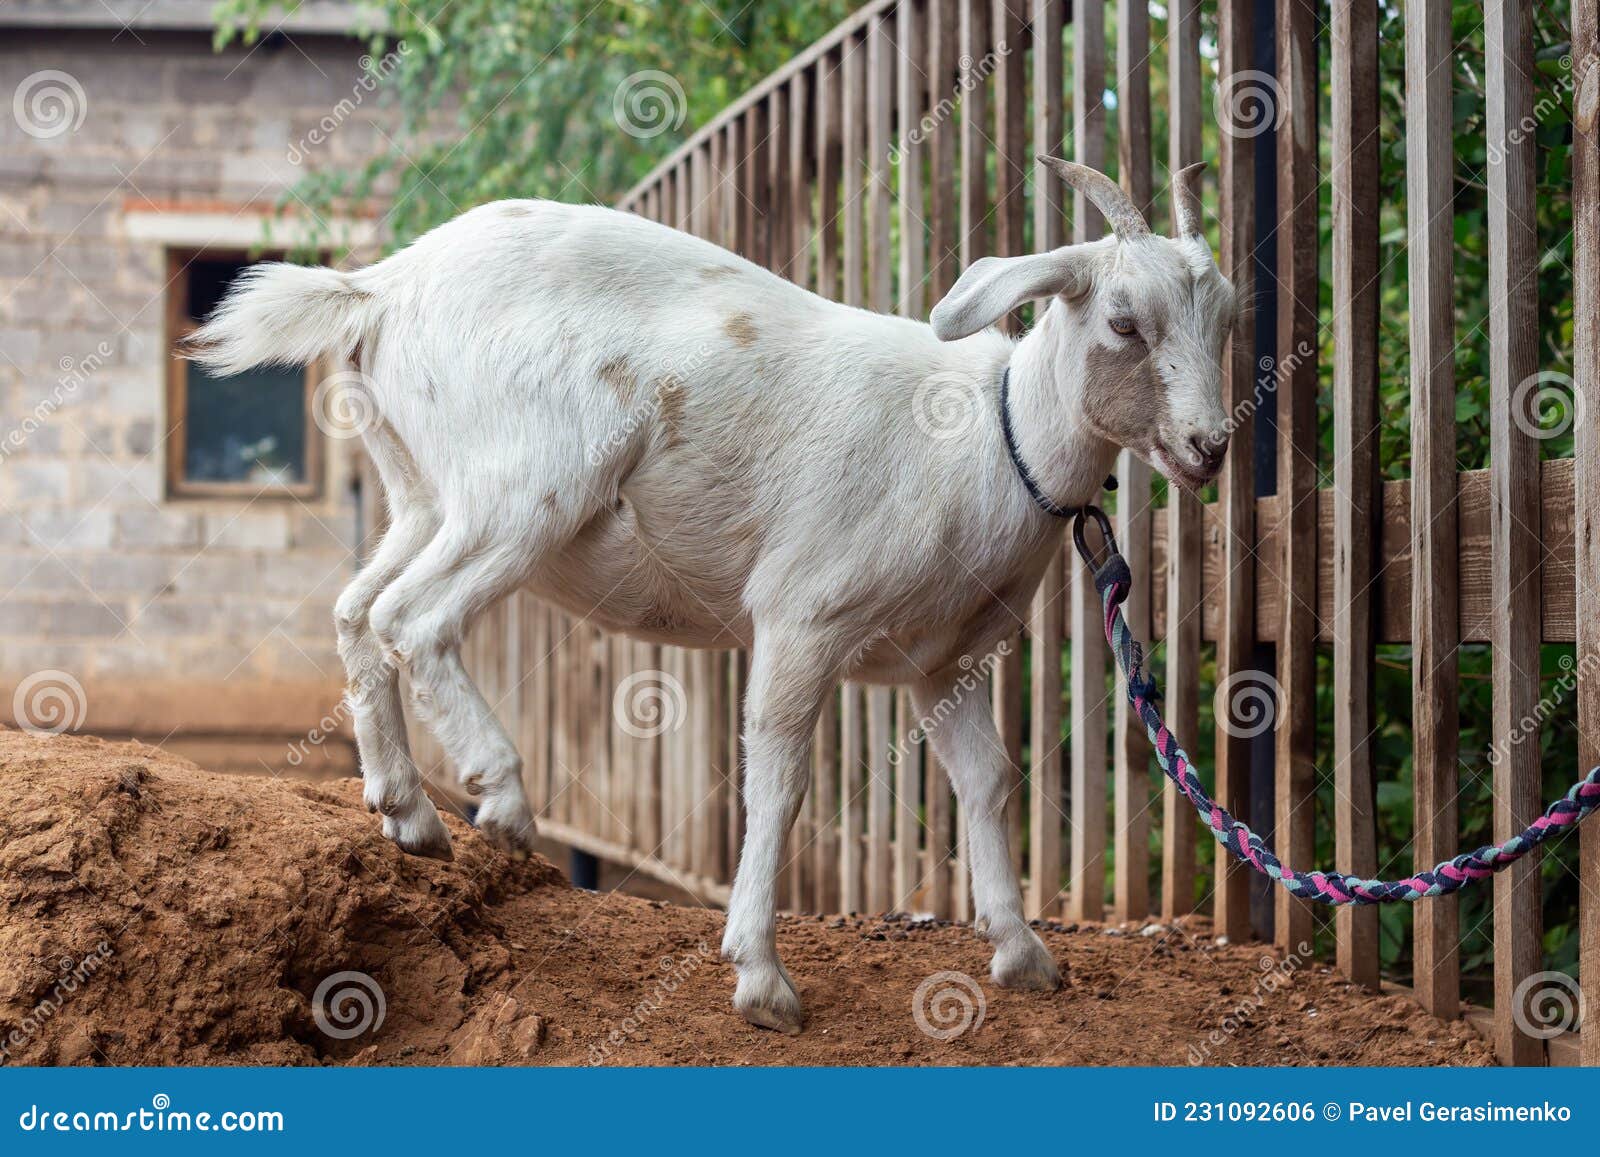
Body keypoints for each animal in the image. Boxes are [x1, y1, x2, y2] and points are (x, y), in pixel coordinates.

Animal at [190, 157, 1237, 1035]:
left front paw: (1023, 954)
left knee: (356, 609)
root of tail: (382, 289)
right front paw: (762, 978)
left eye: (1226, 316)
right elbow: (779, 779)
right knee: (415, 616)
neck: (990, 438)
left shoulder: (947, 660)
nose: (1210, 447)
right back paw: (502, 797)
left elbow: (987, 781)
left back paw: (406, 810)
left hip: (424, 493)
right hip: (522, 491)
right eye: (1124, 322)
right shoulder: (804, 613)